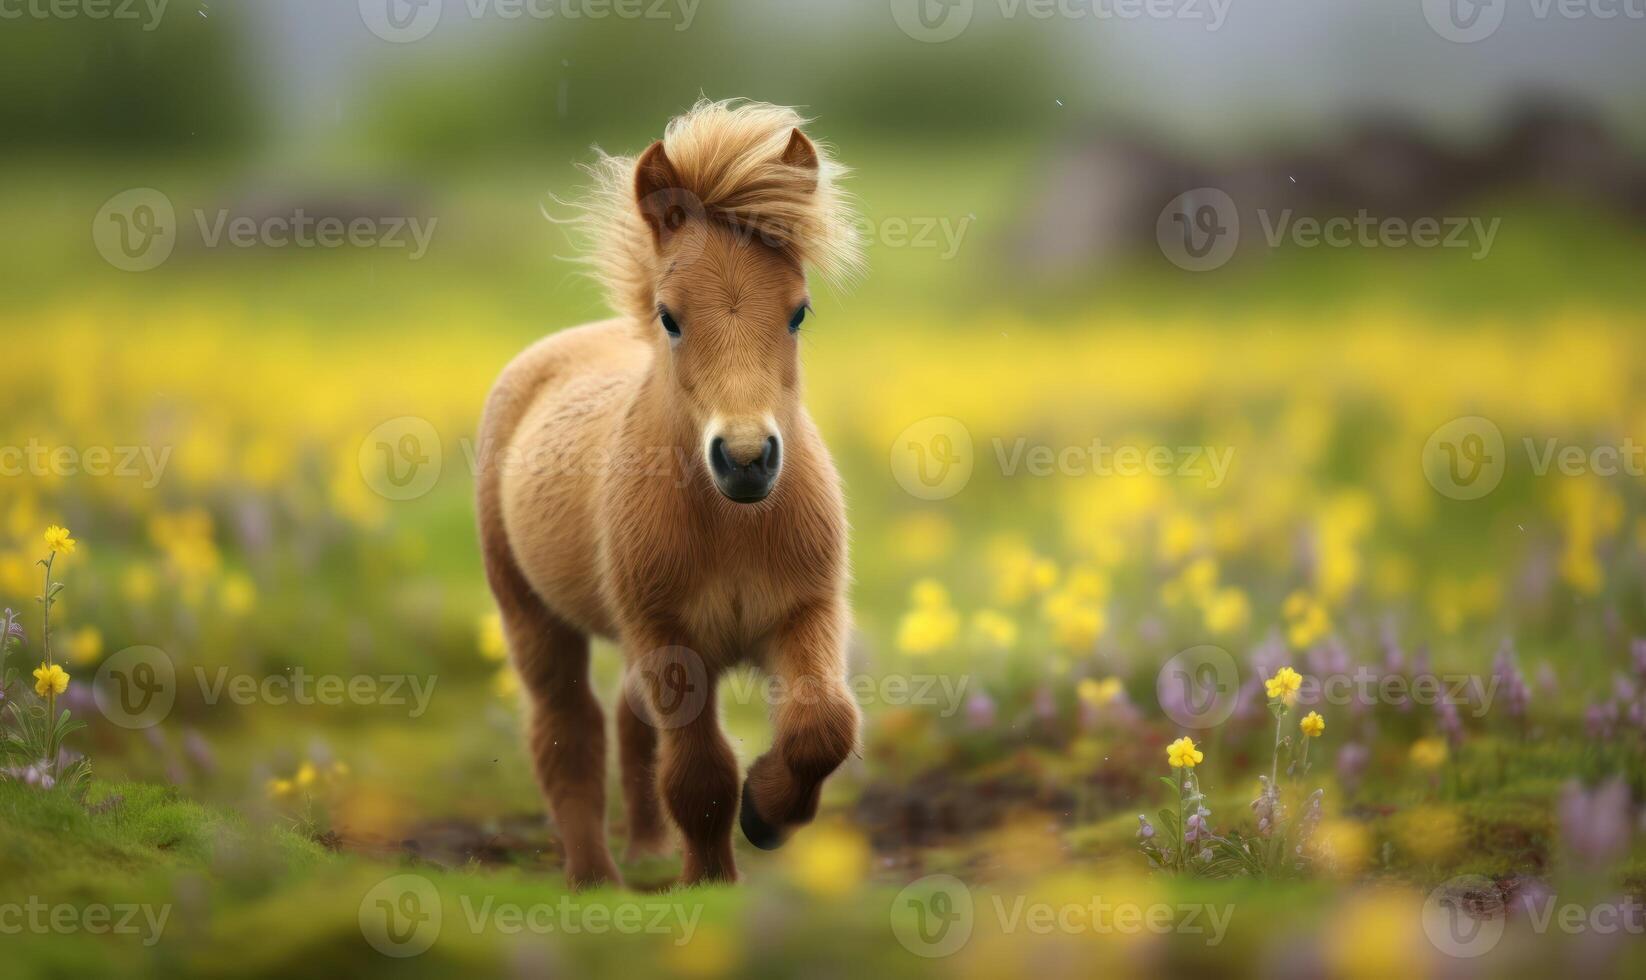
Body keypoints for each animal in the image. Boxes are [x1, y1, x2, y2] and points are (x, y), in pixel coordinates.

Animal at [474, 99, 862, 889]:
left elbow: (822, 726)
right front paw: (709, 880)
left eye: (799, 312)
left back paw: (647, 853)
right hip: (533, 616)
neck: (734, 523)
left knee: (626, 725)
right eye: (671, 316)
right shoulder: (669, 638)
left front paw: (767, 815)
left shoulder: (806, 614)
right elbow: (700, 775)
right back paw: (595, 879)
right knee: (569, 733)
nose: (745, 459)